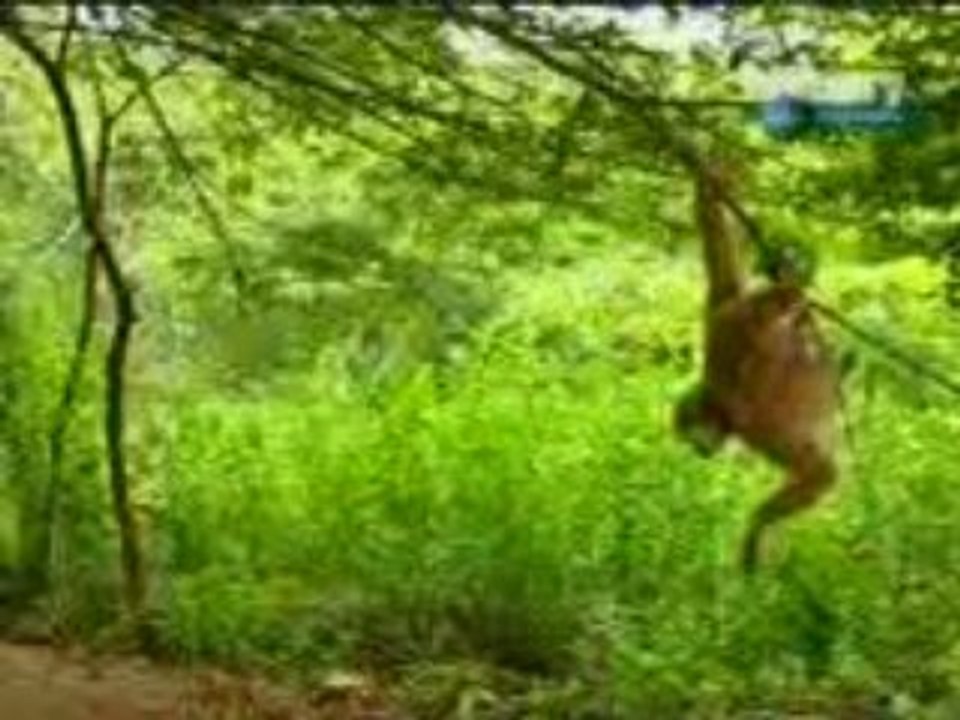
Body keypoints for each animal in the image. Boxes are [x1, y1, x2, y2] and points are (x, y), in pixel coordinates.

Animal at [674, 160, 840, 573]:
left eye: (691, 434)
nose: (697, 451)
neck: (716, 395)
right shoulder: (715, 306)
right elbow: (718, 255)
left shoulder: (755, 428)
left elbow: (822, 472)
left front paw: (757, 525)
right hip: (729, 309)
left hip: (749, 317)